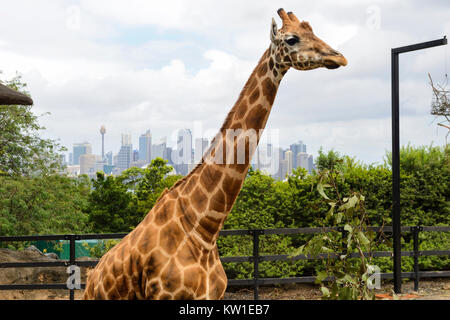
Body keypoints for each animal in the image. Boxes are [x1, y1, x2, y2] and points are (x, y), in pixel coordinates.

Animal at [83, 8, 348, 302]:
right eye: (291, 39)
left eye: (313, 31)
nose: (339, 56)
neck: (205, 229)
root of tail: (91, 278)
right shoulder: (164, 296)